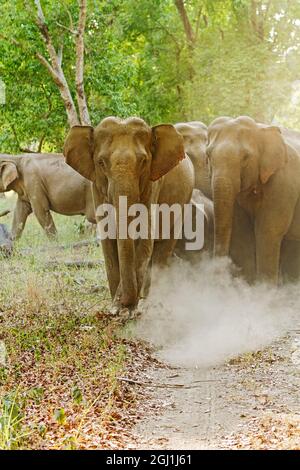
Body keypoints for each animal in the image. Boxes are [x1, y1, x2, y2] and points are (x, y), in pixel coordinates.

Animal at [63, 116, 195, 308]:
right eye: (101, 162)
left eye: (144, 161)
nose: (123, 301)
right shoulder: (96, 188)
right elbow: (108, 239)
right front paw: (116, 306)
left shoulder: (153, 184)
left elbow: (145, 235)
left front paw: (123, 306)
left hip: (183, 203)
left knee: (163, 248)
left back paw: (151, 300)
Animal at [206, 115, 300, 284]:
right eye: (208, 155)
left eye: (245, 157)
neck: (260, 128)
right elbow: (242, 231)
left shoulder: (283, 185)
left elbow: (267, 231)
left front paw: (264, 290)